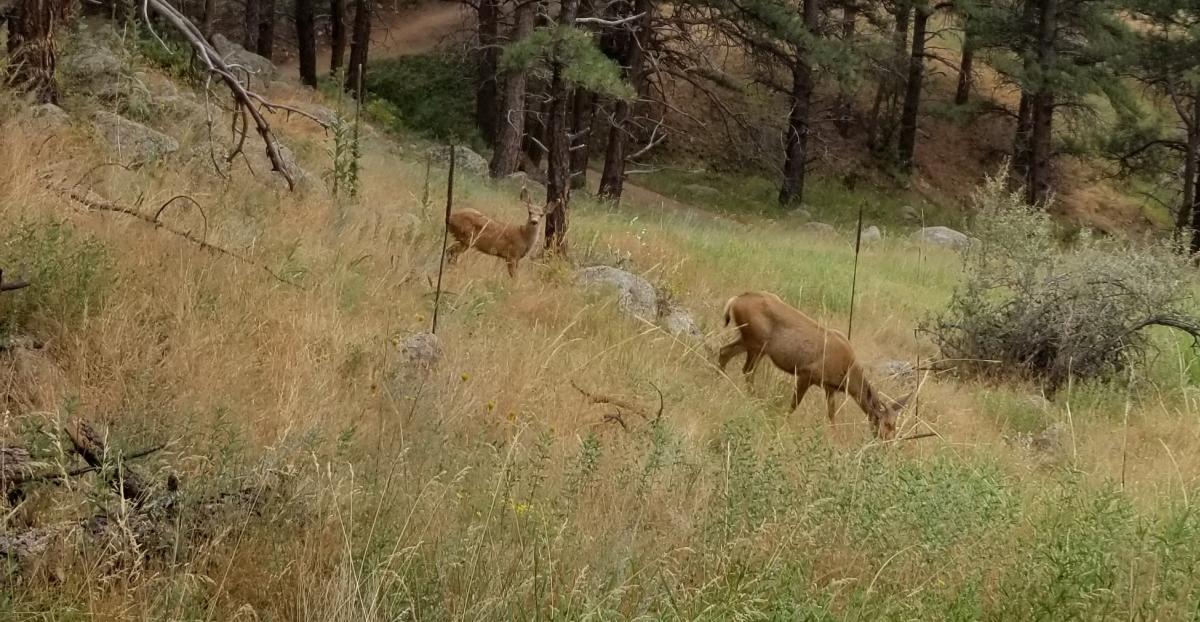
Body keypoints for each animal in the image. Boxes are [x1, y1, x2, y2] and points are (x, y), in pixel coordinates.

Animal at [720, 291, 907, 441]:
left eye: (895, 423)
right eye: (884, 422)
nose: (888, 441)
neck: (847, 372)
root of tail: (735, 300)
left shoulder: (829, 388)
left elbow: (831, 414)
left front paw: (835, 436)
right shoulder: (806, 373)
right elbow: (794, 404)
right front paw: (784, 423)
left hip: (749, 340)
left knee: (724, 352)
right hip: (757, 343)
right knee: (746, 370)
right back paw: (753, 399)